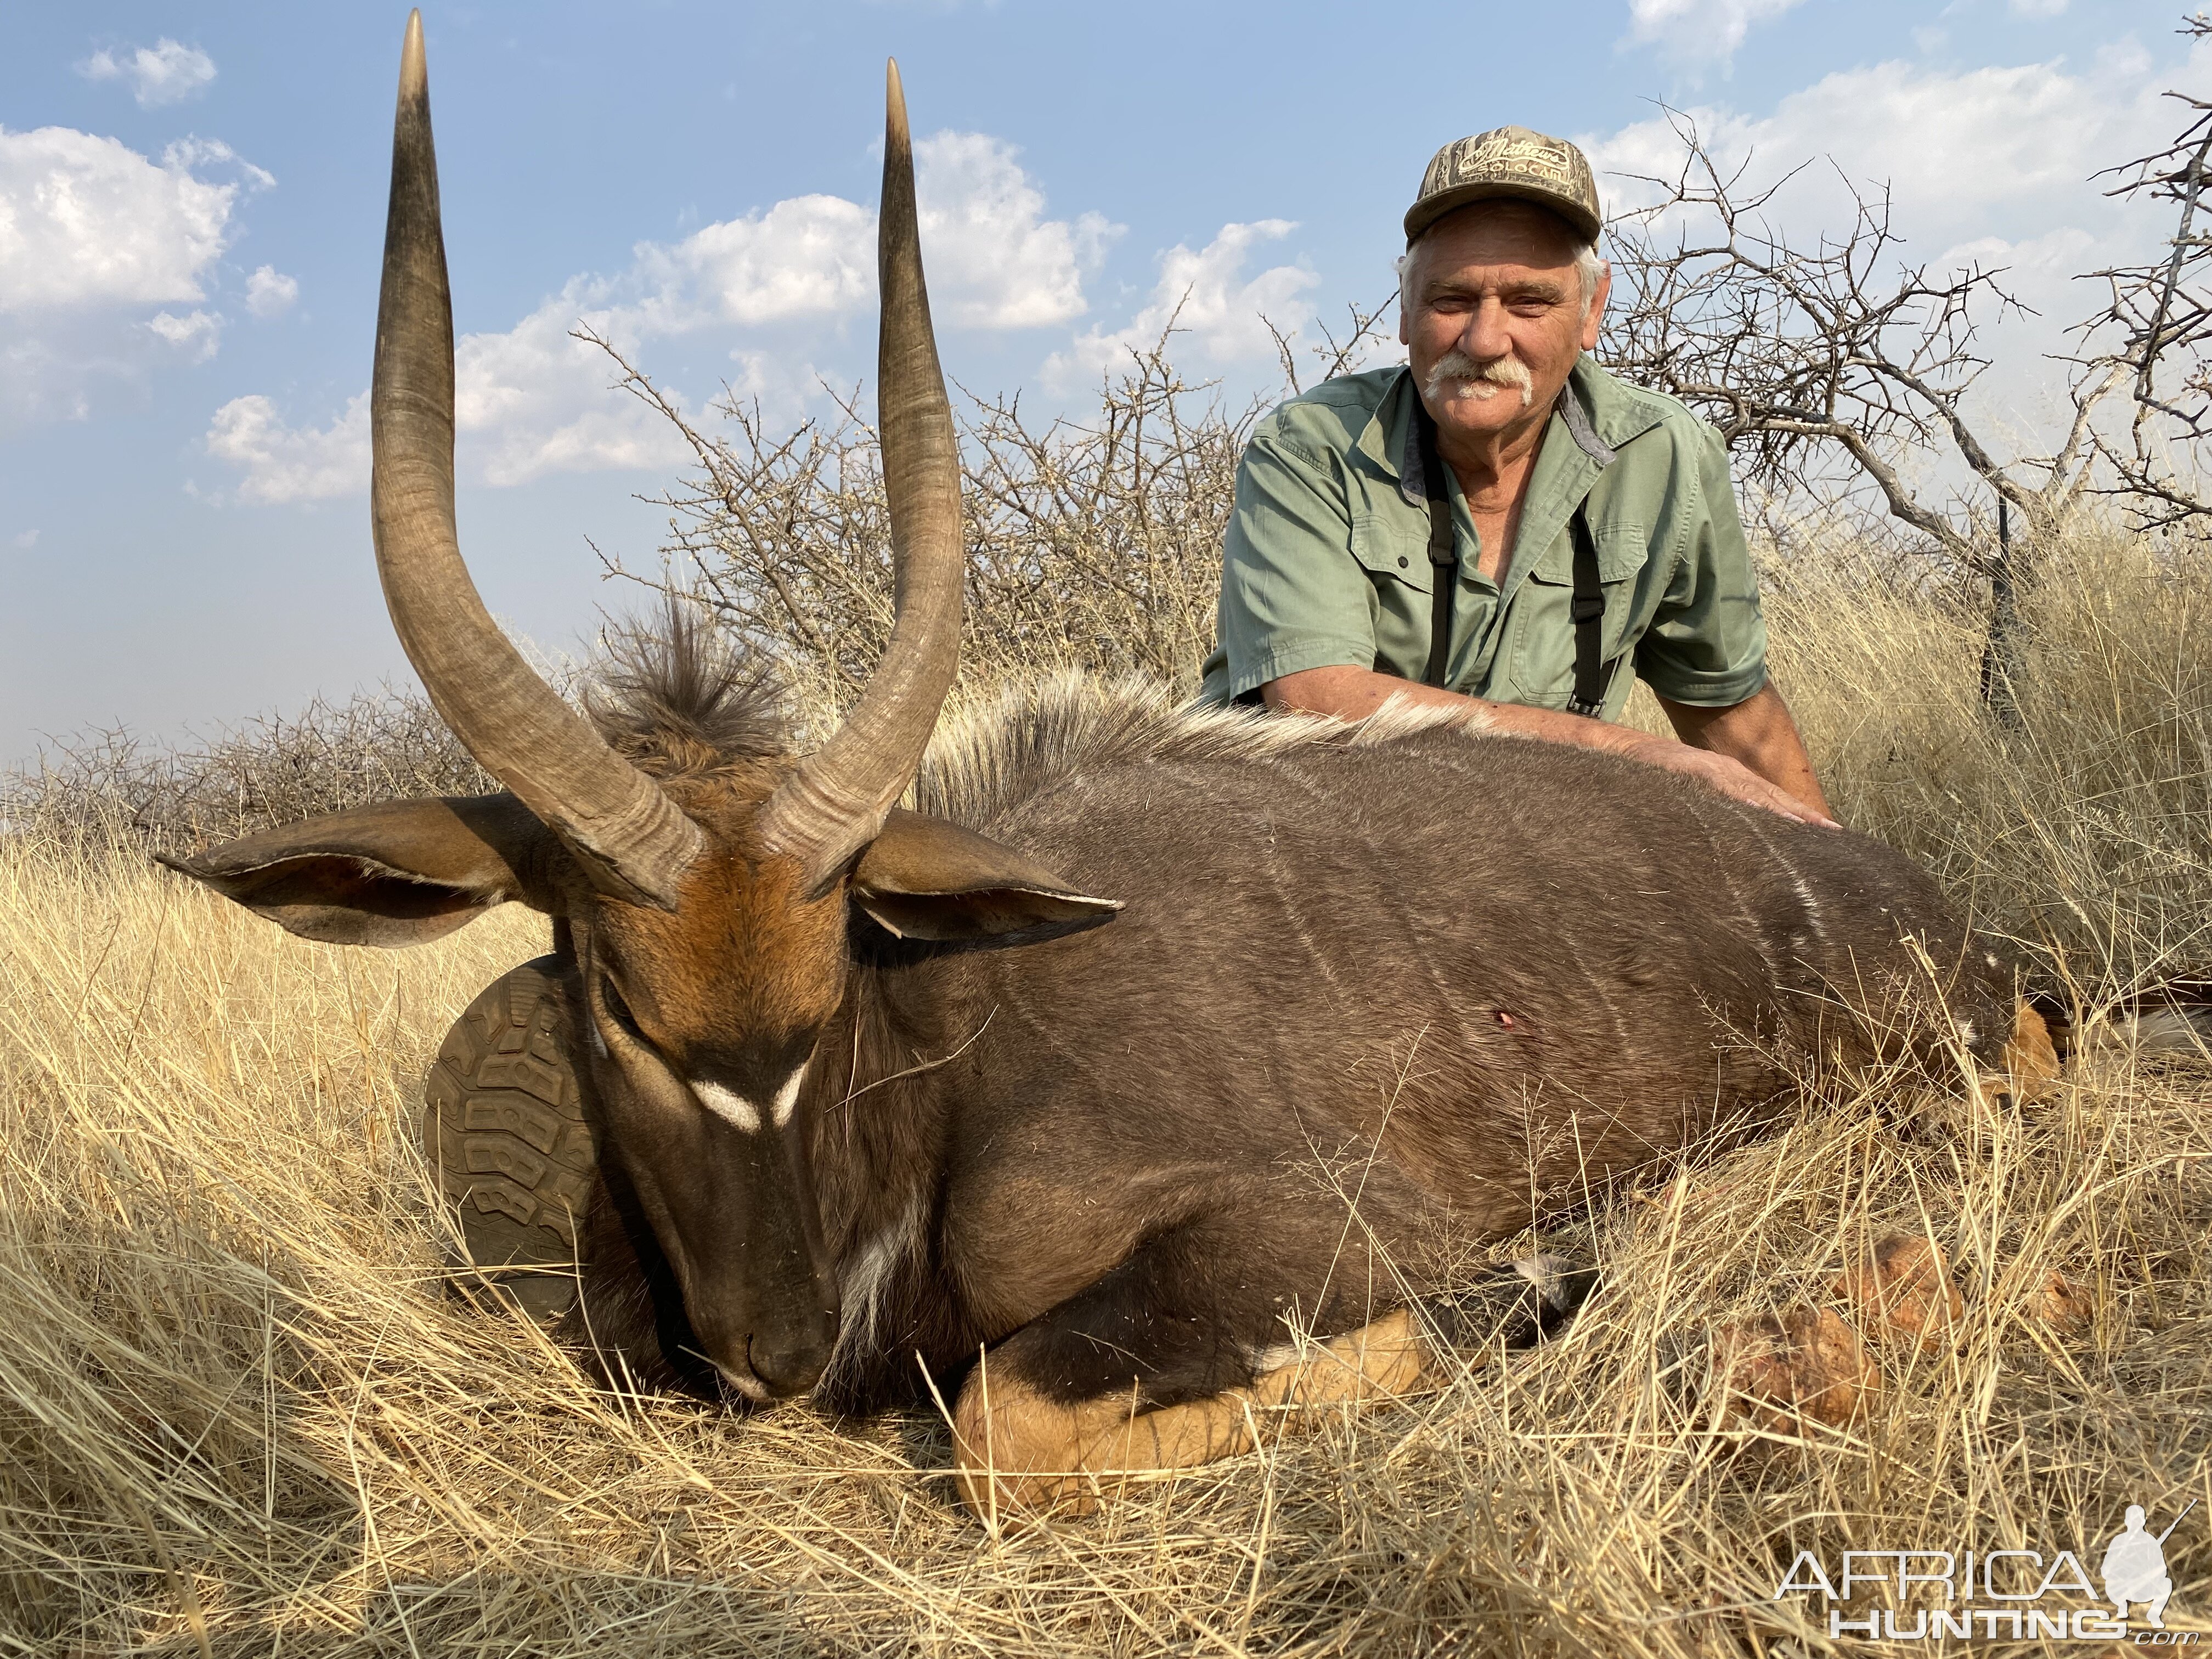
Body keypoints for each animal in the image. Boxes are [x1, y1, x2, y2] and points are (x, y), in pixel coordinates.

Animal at [163, 9, 2044, 1522]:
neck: (943, 1059)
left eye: (832, 979)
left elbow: (1006, 1428)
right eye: (615, 1005)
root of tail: (1907, 897)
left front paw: (1510, 1305)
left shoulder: (1313, 1230)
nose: (775, 1348)